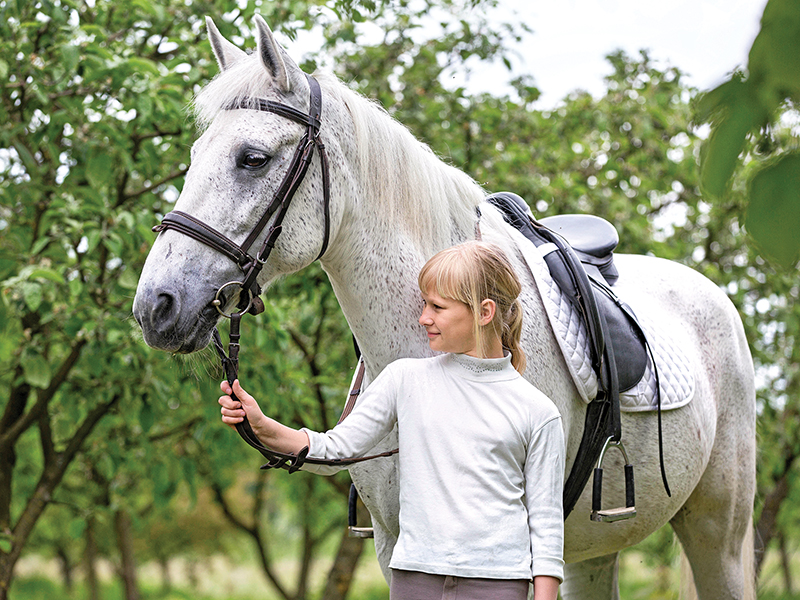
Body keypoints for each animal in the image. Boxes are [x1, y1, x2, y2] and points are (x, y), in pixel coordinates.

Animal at [132, 15, 756, 599]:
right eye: (194, 155)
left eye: (253, 158)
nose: (155, 306)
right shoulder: (395, 546)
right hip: (594, 551)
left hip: (716, 535)